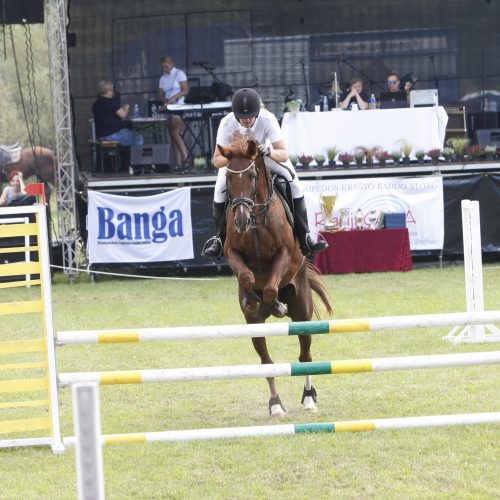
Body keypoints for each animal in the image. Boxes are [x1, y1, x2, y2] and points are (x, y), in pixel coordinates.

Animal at [219, 136, 332, 418]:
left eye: (252, 175)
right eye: (228, 177)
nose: (241, 221)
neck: (257, 217)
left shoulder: (285, 254)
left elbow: (271, 287)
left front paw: (278, 305)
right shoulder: (232, 252)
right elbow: (247, 276)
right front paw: (251, 299)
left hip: (302, 312)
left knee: (305, 356)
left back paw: (309, 398)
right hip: (255, 327)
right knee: (266, 362)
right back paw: (276, 404)